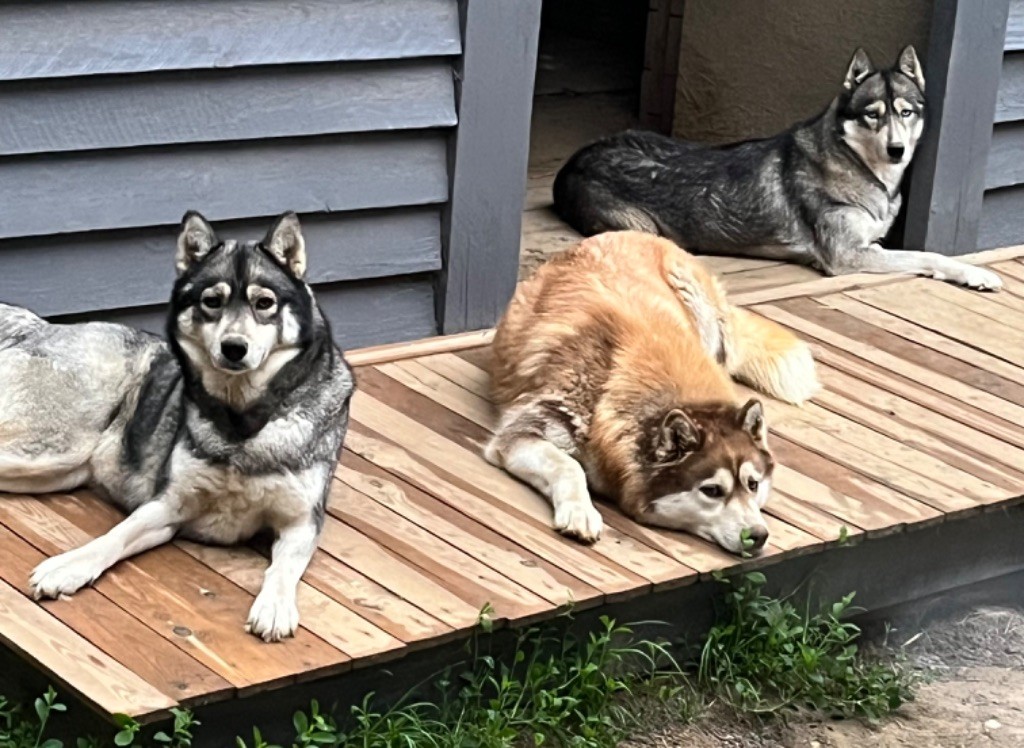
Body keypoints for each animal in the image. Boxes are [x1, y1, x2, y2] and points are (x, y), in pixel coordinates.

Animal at [0, 211, 353, 641]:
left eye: (264, 303)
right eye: (212, 302)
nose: (234, 348)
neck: (239, 422)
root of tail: (36, 325)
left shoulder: (301, 522)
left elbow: (284, 567)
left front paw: (274, 606)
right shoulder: (166, 505)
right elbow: (114, 536)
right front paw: (69, 566)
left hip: (56, 469)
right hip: (53, 448)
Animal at [485, 231, 818, 553]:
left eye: (753, 485)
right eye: (712, 491)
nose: (759, 535)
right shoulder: (524, 433)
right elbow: (569, 466)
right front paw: (581, 512)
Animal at [553, 46, 1001, 291]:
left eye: (906, 112)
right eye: (872, 114)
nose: (897, 150)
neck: (860, 167)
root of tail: (573, 160)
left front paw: (972, 273)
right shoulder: (847, 256)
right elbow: (927, 255)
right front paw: (971, 272)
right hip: (644, 229)